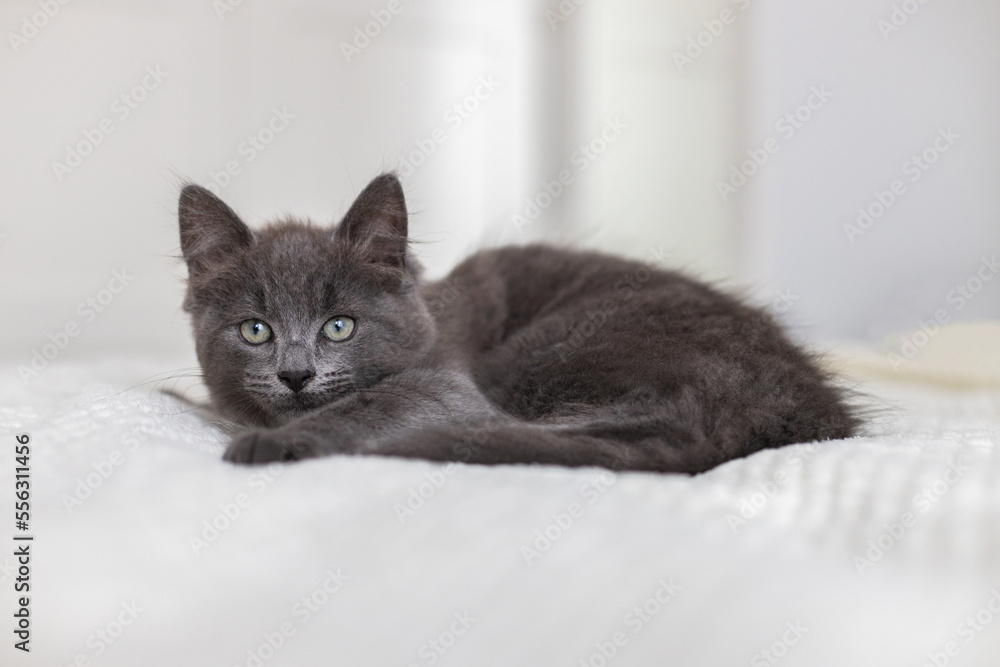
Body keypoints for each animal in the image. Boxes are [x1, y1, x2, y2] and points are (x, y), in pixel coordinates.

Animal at [180, 175, 860, 472]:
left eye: (339, 326)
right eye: (256, 330)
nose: (295, 375)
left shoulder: (447, 384)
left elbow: (372, 403)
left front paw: (267, 442)